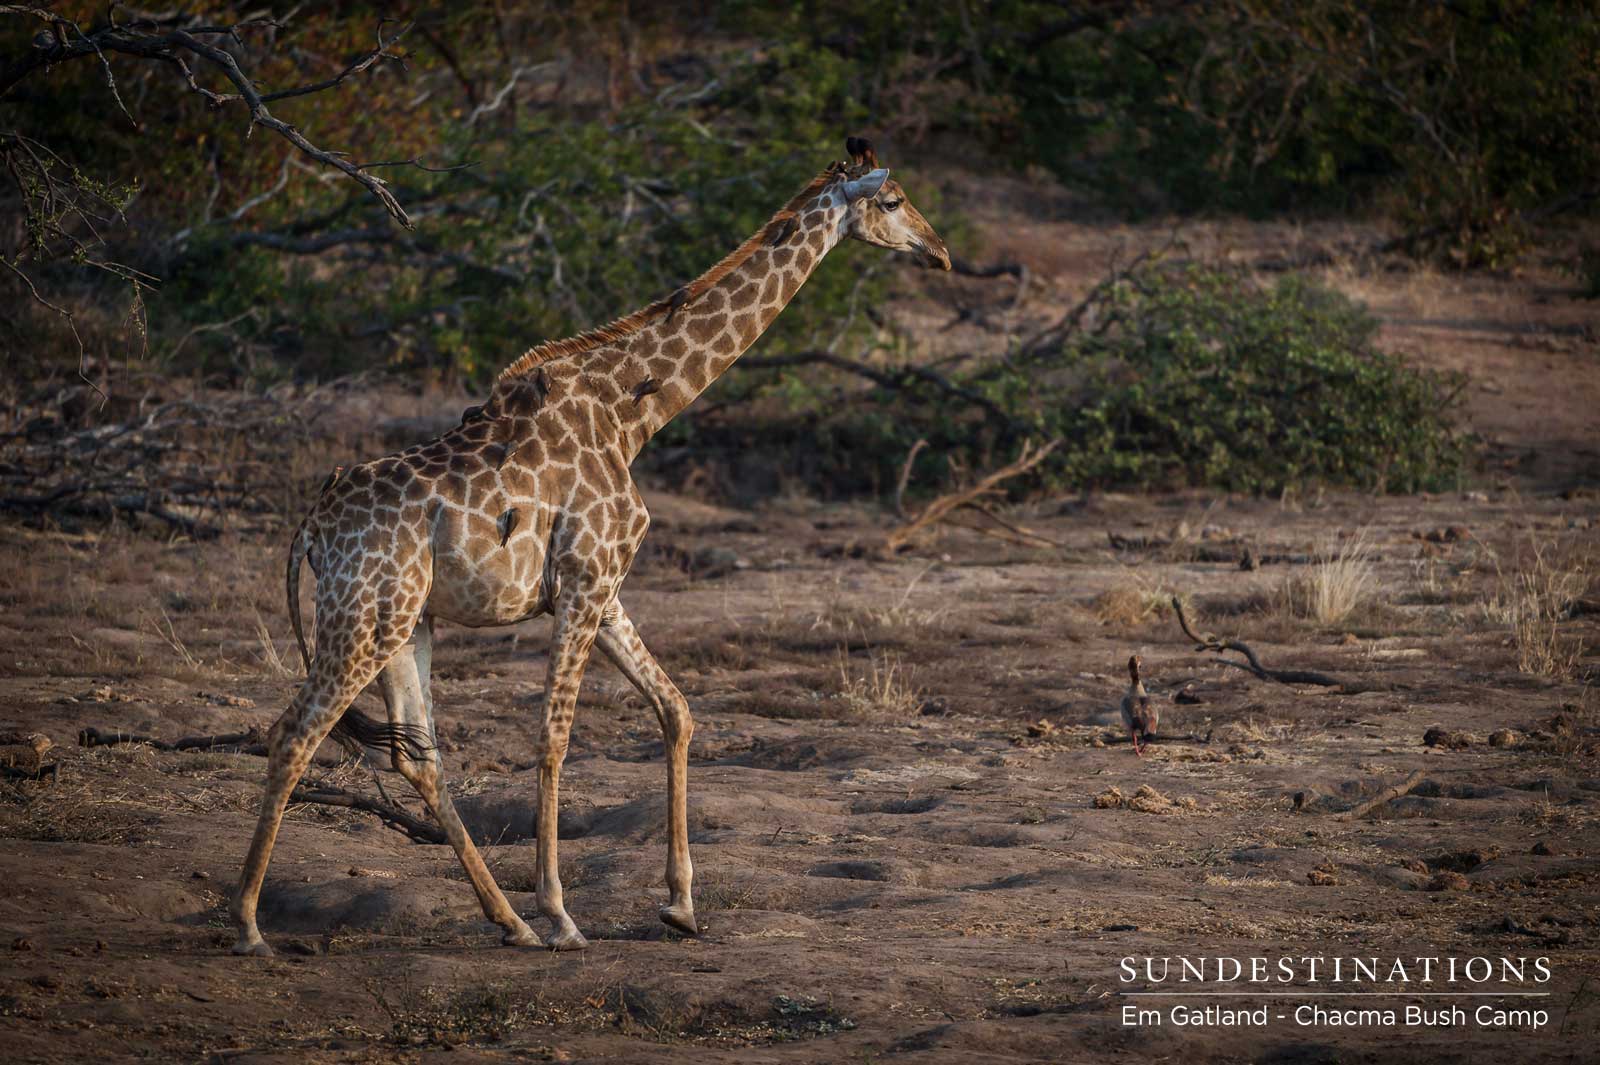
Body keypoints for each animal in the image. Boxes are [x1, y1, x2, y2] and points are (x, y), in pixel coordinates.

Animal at [230, 136, 950, 955]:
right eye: (892, 199)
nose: (939, 251)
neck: (633, 414)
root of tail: (312, 528)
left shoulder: (602, 587)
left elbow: (676, 709)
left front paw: (680, 904)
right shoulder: (582, 580)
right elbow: (554, 736)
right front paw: (563, 911)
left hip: (405, 621)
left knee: (420, 757)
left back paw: (508, 923)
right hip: (363, 617)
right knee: (294, 733)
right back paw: (250, 924)